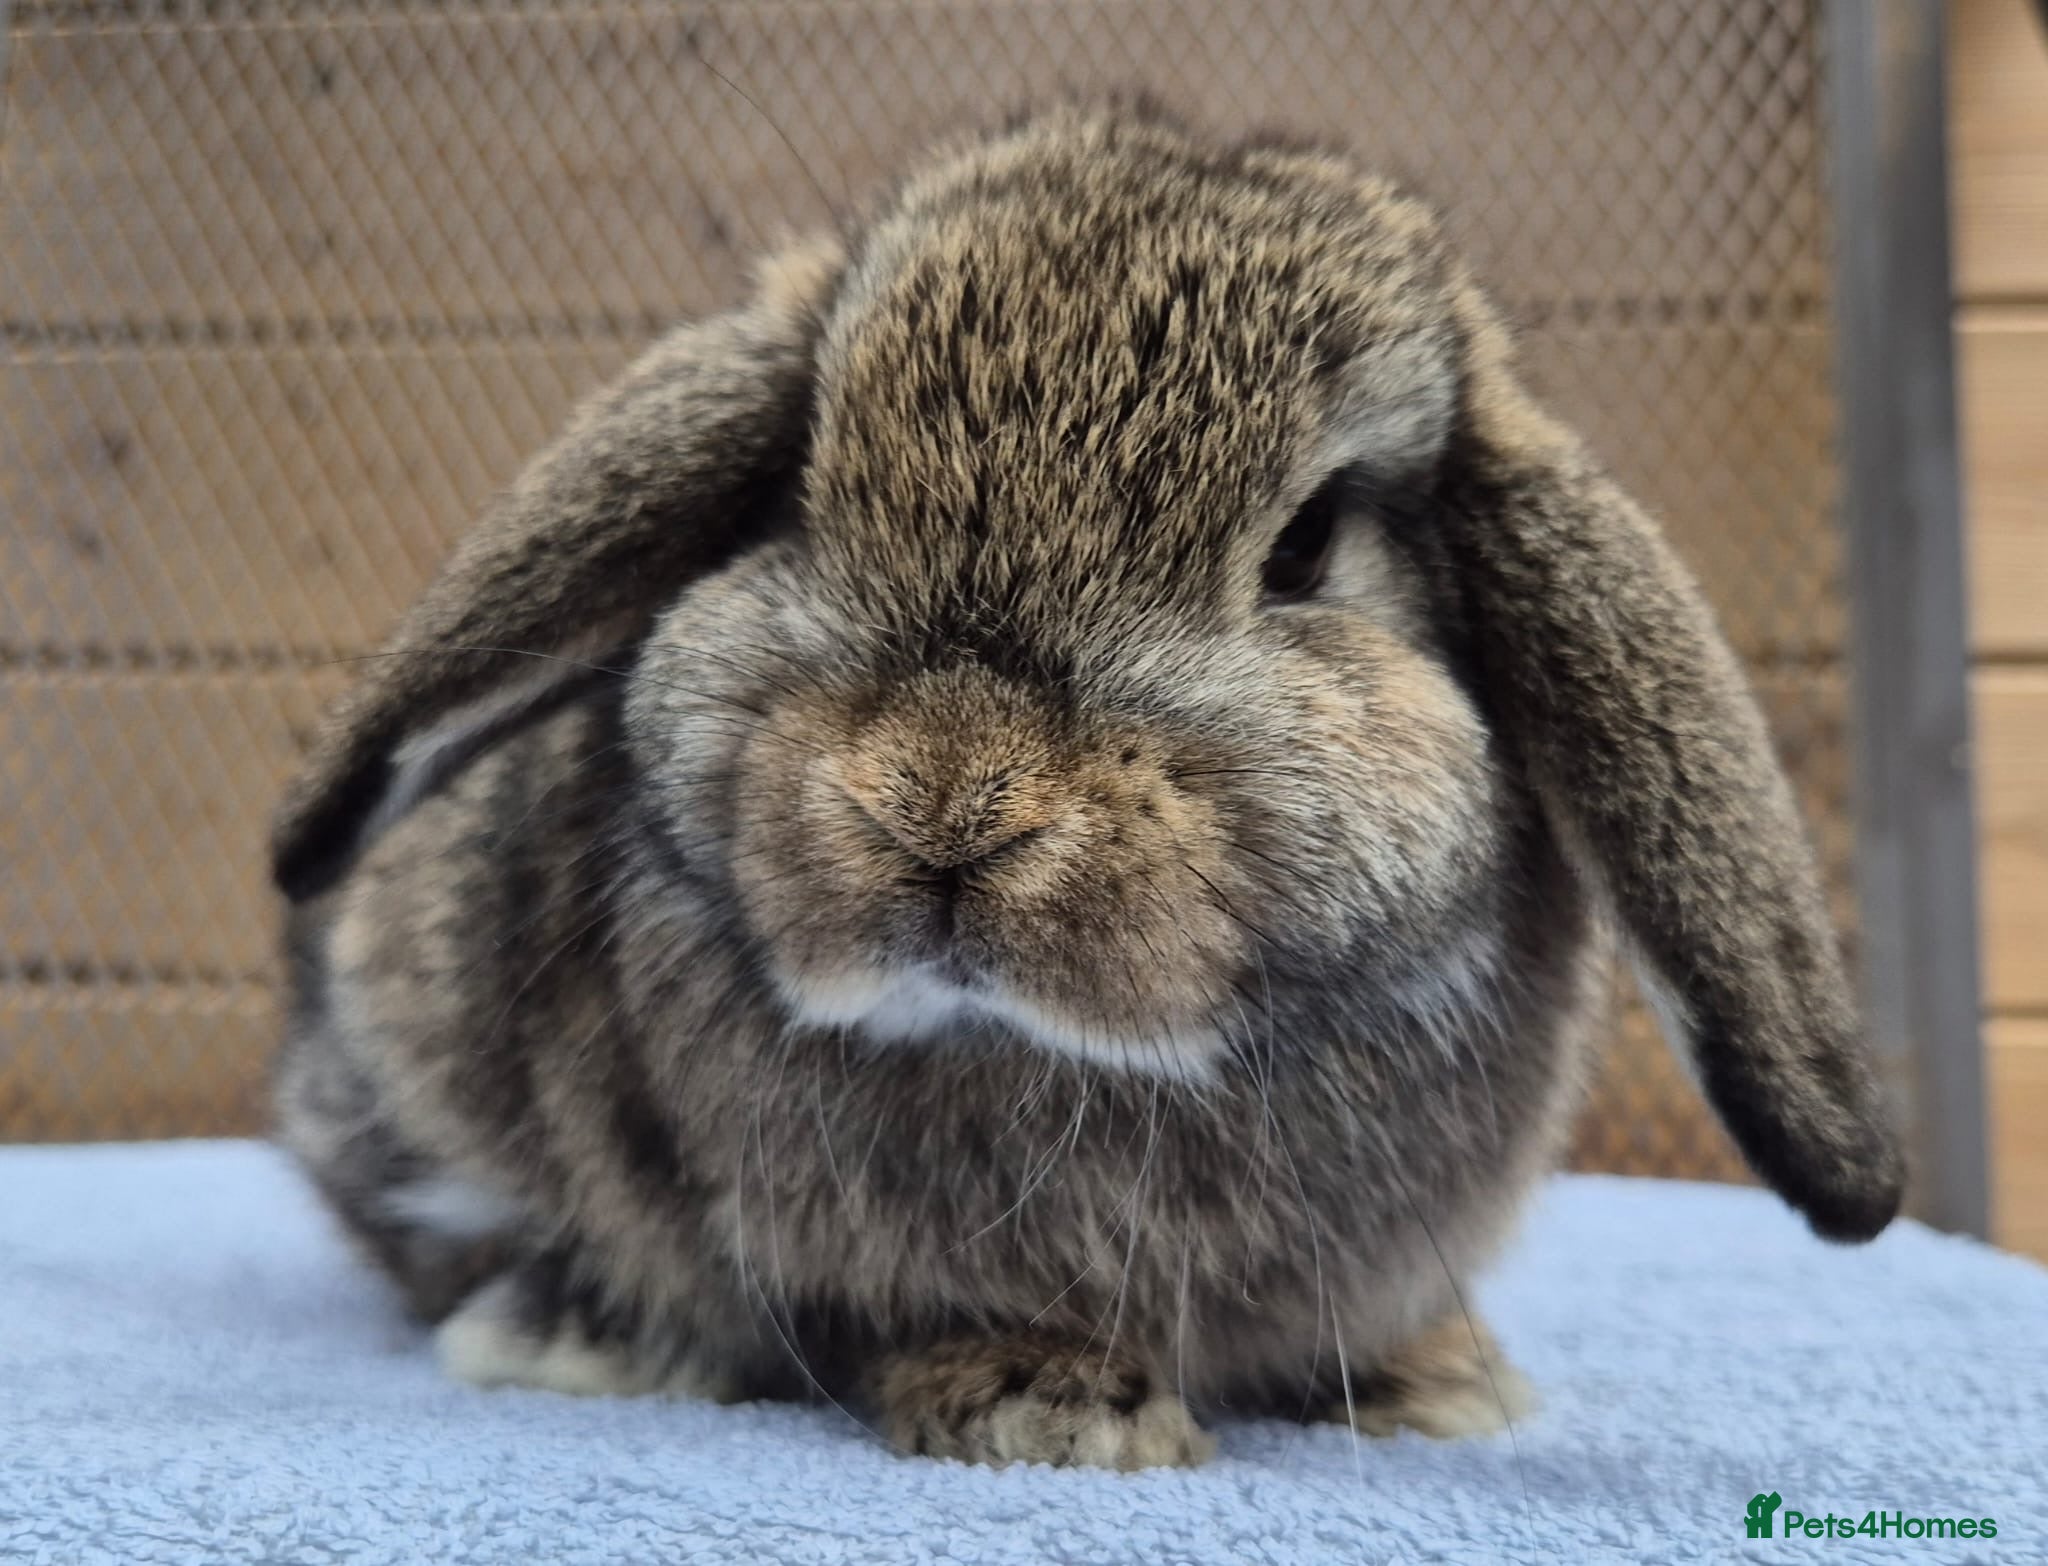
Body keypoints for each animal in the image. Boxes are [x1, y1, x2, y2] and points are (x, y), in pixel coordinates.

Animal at [272, 105, 1903, 1471]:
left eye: (1305, 547)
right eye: (799, 493)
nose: (944, 813)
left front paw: (1438, 1384)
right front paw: (1056, 1413)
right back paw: (574, 1329)